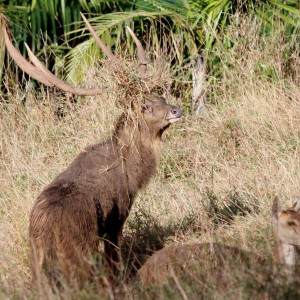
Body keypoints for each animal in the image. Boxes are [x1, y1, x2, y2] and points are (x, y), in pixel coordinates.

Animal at [1, 12, 182, 288]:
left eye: (160, 97)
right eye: (145, 107)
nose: (176, 110)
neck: (133, 173)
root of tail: (46, 232)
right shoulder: (116, 216)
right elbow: (114, 262)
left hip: (36, 264)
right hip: (80, 251)